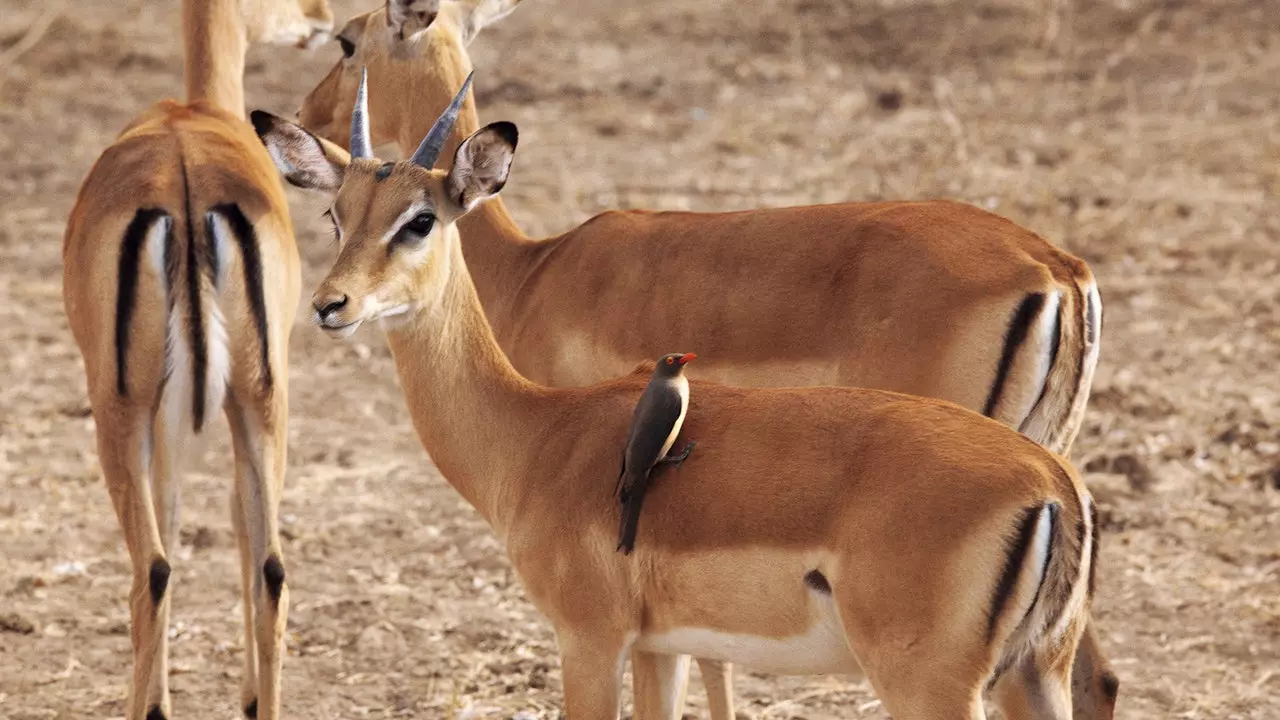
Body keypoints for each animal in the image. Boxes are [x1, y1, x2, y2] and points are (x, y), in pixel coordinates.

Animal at [61, 1, 330, 717]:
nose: (324, 21)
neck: (198, 110)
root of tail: (185, 178)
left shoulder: (164, 415)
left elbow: (178, 518)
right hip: (263, 402)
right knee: (271, 569)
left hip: (122, 412)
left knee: (151, 568)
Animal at [275, 2, 1116, 712]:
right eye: (337, 214)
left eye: (419, 220)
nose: (329, 304)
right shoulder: (663, 644)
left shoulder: (591, 641)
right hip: (1032, 661)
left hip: (932, 685)